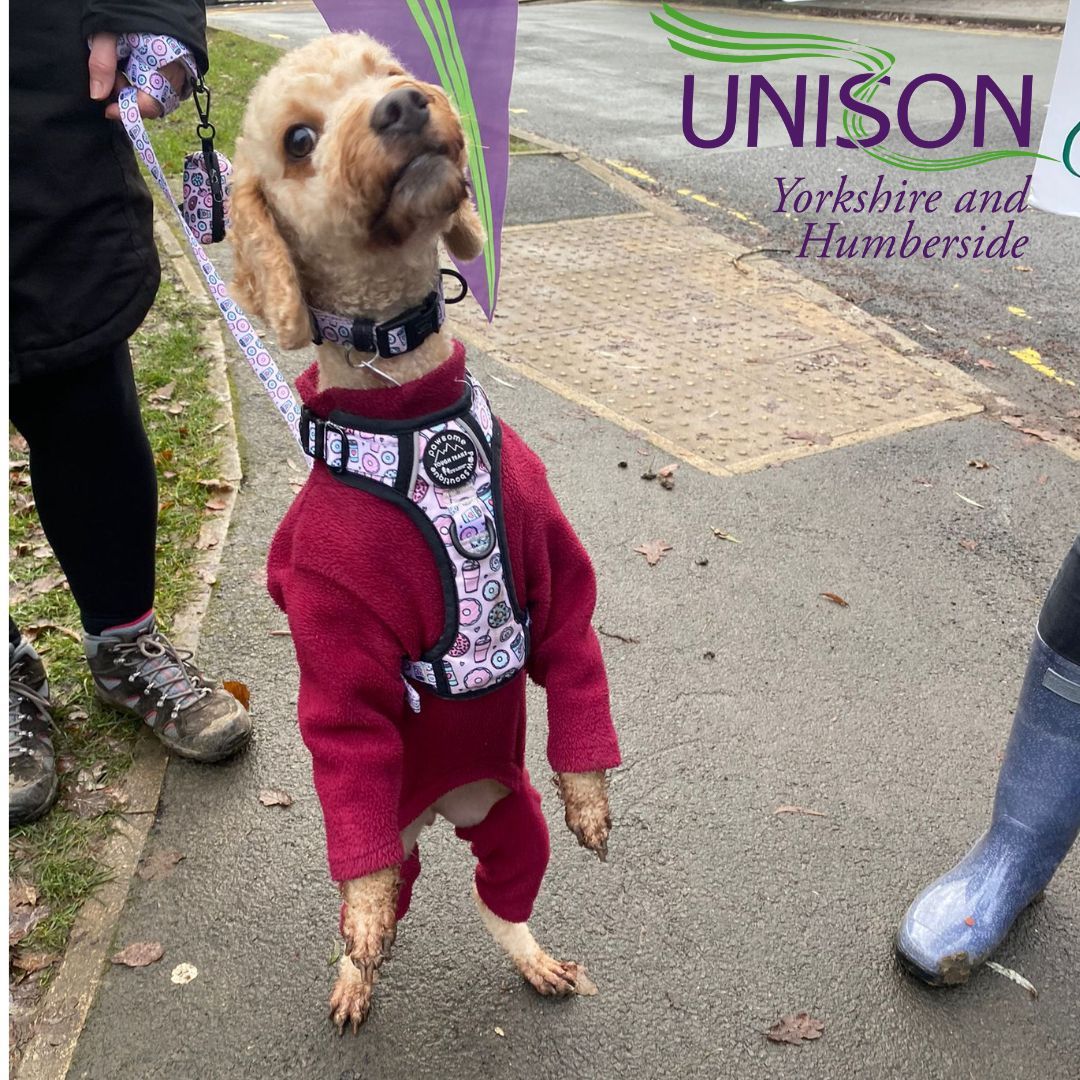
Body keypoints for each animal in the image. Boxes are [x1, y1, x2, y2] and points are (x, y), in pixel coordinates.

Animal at [232, 33, 622, 1032]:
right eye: (298, 139)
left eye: (385, 66)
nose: (405, 105)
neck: (404, 399)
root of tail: (445, 806)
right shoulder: (333, 621)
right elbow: (347, 727)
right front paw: (363, 930)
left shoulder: (551, 564)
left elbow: (574, 657)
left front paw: (590, 794)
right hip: (396, 827)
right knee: (388, 881)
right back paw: (358, 961)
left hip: (509, 817)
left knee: (501, 898)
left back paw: (533, 957)